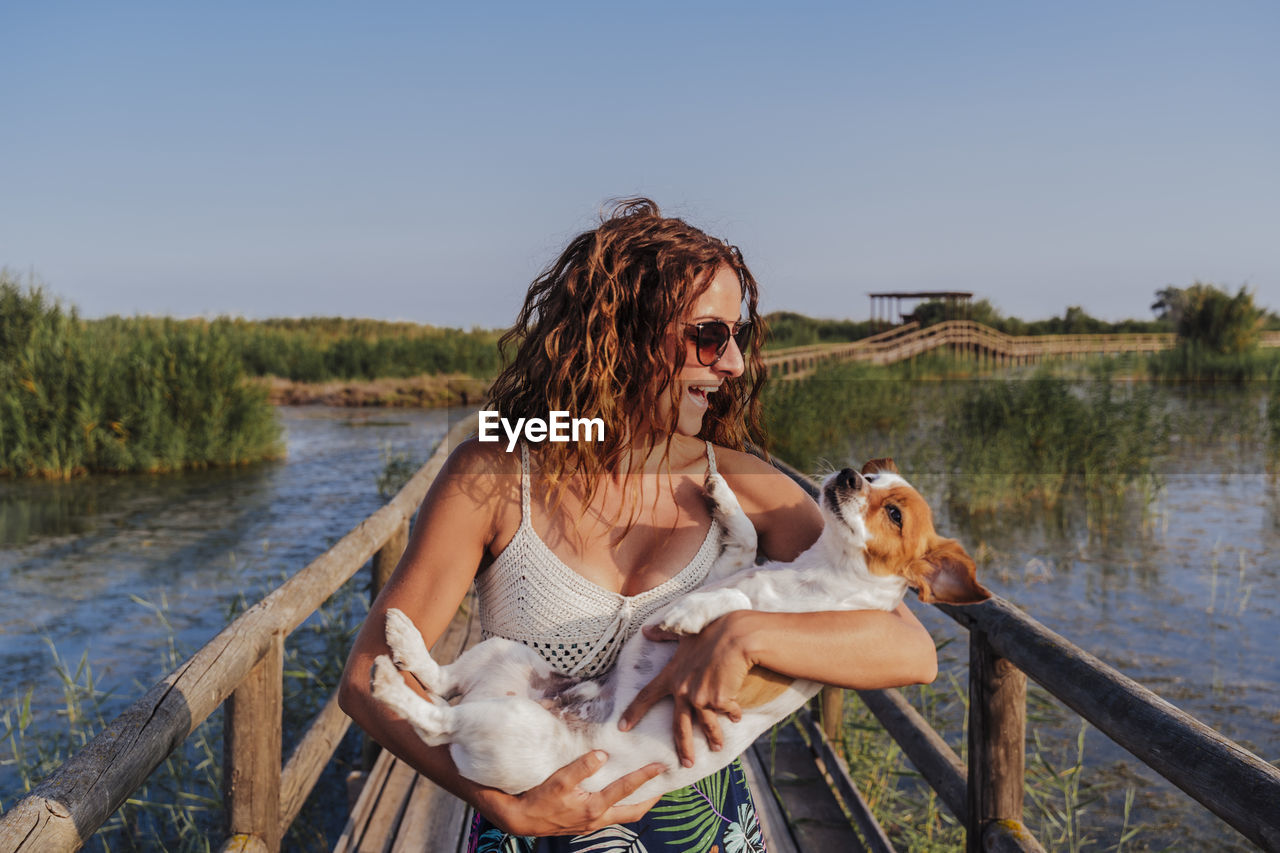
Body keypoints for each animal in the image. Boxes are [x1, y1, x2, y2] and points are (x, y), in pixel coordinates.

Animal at [371, 458, 988, 799]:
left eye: (895, 515)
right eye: (873, 475)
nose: (851, 474)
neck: (817, 572)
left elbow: (738, 605)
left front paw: (686, 616)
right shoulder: (731, 564)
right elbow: (742, 543)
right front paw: (723, 496)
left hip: (511, 728)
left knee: (439, 722)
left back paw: (389, 684)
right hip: (505, 654)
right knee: (443, 681)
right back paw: (402, 642)